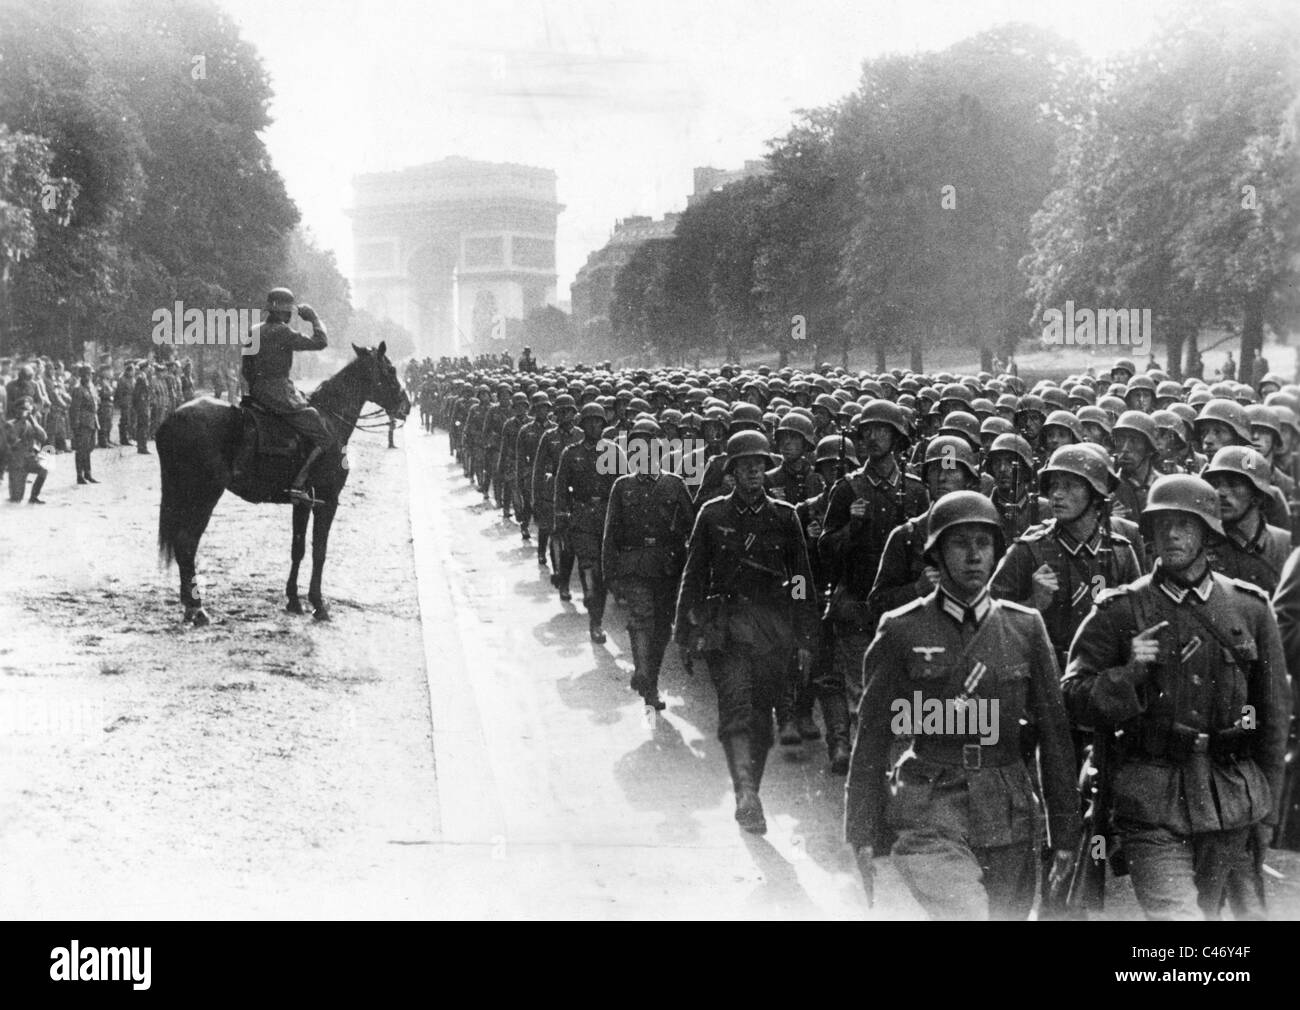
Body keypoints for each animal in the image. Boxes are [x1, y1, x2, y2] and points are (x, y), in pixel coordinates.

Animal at [159, 345, 408, 621]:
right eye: (391, 370)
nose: (406, 405)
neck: (330, 420)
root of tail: (172, 418)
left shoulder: (303, 502)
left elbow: (298, 548)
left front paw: (293, 600)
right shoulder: (327, 500)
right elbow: (319, 550)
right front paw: (318, 603)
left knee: (182, 544)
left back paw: (189, 604)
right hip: (204, 496)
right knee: (187, 542)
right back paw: (197, 607)